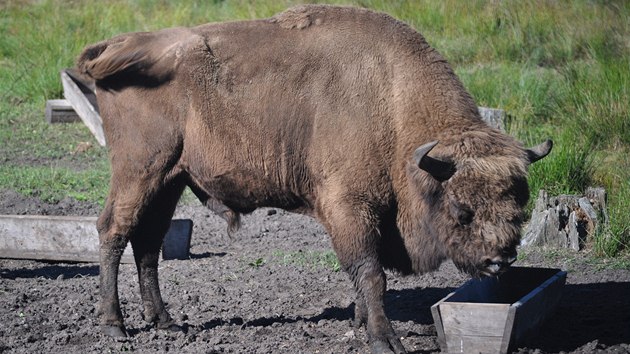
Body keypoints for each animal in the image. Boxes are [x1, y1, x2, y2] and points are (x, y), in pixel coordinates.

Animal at [78, 5, 552, 354]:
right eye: (461, 210)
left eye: (520, 203)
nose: (501, 259)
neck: (391, 101)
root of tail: (119, 45)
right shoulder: (350, 206)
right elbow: (370, 272)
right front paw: (384, 340)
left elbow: (365, 275)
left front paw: (360, 323)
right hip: (140, 170)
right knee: (114, 231)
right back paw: (114, 325)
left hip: (170, 180)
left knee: (148, 242)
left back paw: (165, 322)